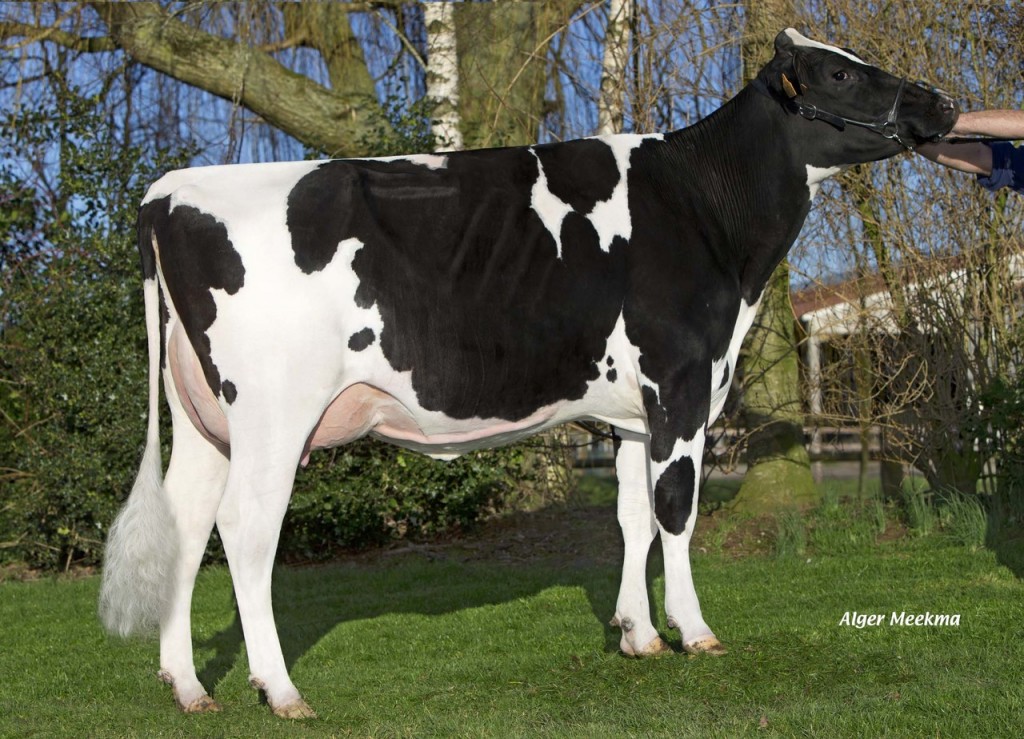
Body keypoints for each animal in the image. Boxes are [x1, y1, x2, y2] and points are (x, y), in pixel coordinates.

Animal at [99, 29, 957, 719]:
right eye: (838, 73)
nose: (941, 103)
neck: (707, 211)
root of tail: (171, 190)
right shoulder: (681, 381)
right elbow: (675, 512)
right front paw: (694, 630)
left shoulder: (631, 413)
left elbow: (631, 516)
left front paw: (637, 634)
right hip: (274, 414)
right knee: (246, 532)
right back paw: (280, 689)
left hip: (205, 418)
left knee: (186, 523)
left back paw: (188, 685)